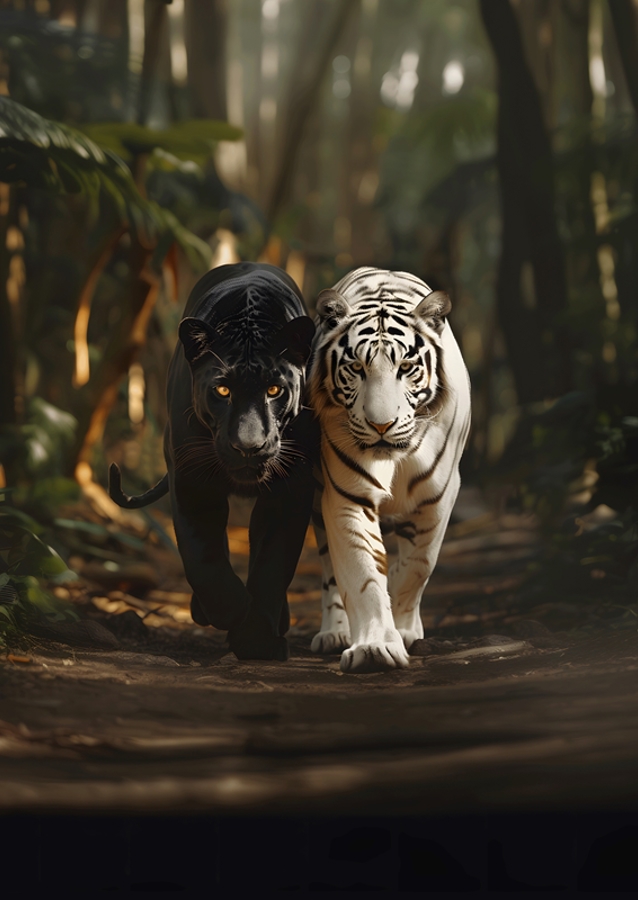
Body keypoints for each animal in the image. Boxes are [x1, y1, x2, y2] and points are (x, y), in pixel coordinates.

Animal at [308, 266, 471, 673]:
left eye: (406, 368)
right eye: (356, 367)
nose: (381, 425)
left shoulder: (440, 497)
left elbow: (418, 567)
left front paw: (403, 626)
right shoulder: (347, 497)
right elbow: (363, 574)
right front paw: (374, 646)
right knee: (330, 574)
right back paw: (334, 633)